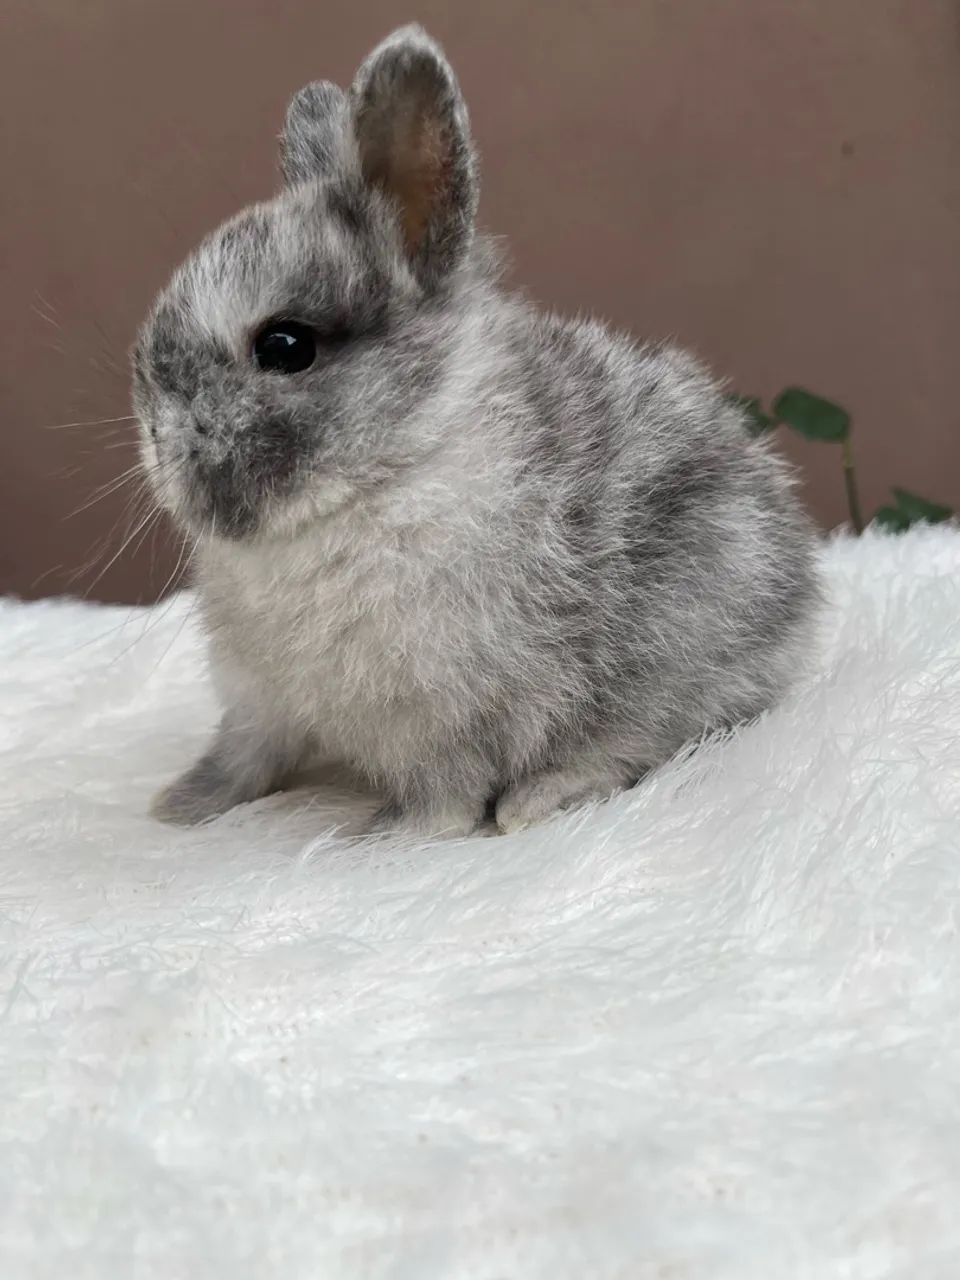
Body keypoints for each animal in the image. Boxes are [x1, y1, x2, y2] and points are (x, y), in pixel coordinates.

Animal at [134, 24, 819, 839]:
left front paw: (379, 837)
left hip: (681, 645)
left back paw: (539, 799)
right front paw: (181, 807)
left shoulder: (443, 718)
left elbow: (445, 801)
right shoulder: (255, 702)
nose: (156, 438)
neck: (385, 470)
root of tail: (801, 605)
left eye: (285, 346)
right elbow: (244, 758)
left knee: (649, 738)